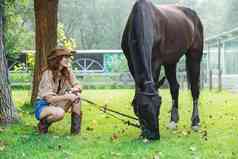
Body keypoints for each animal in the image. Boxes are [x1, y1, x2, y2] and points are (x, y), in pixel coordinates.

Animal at [122, 0, 204, 139]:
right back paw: (173, 121)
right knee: (175, 87)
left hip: (194, 55)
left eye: (159, 104)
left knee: (194, 88)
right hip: (171, 61)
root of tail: (195, 16)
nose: (154, 135)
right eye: (143, 106)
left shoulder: (156, 61)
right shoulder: (130, 62)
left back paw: (195, 122)